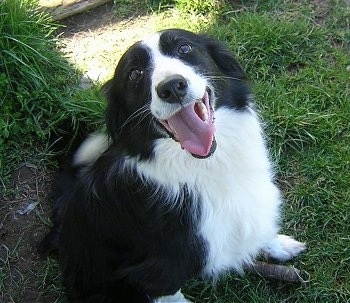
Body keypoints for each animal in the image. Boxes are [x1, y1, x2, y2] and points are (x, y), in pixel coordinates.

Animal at [39, 29, 304, 303]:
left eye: (184, 48)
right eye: (134, 74)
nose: (171, 87)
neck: (207, 167)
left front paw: (279, 245)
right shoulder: (158, 272)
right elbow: (172, 295)